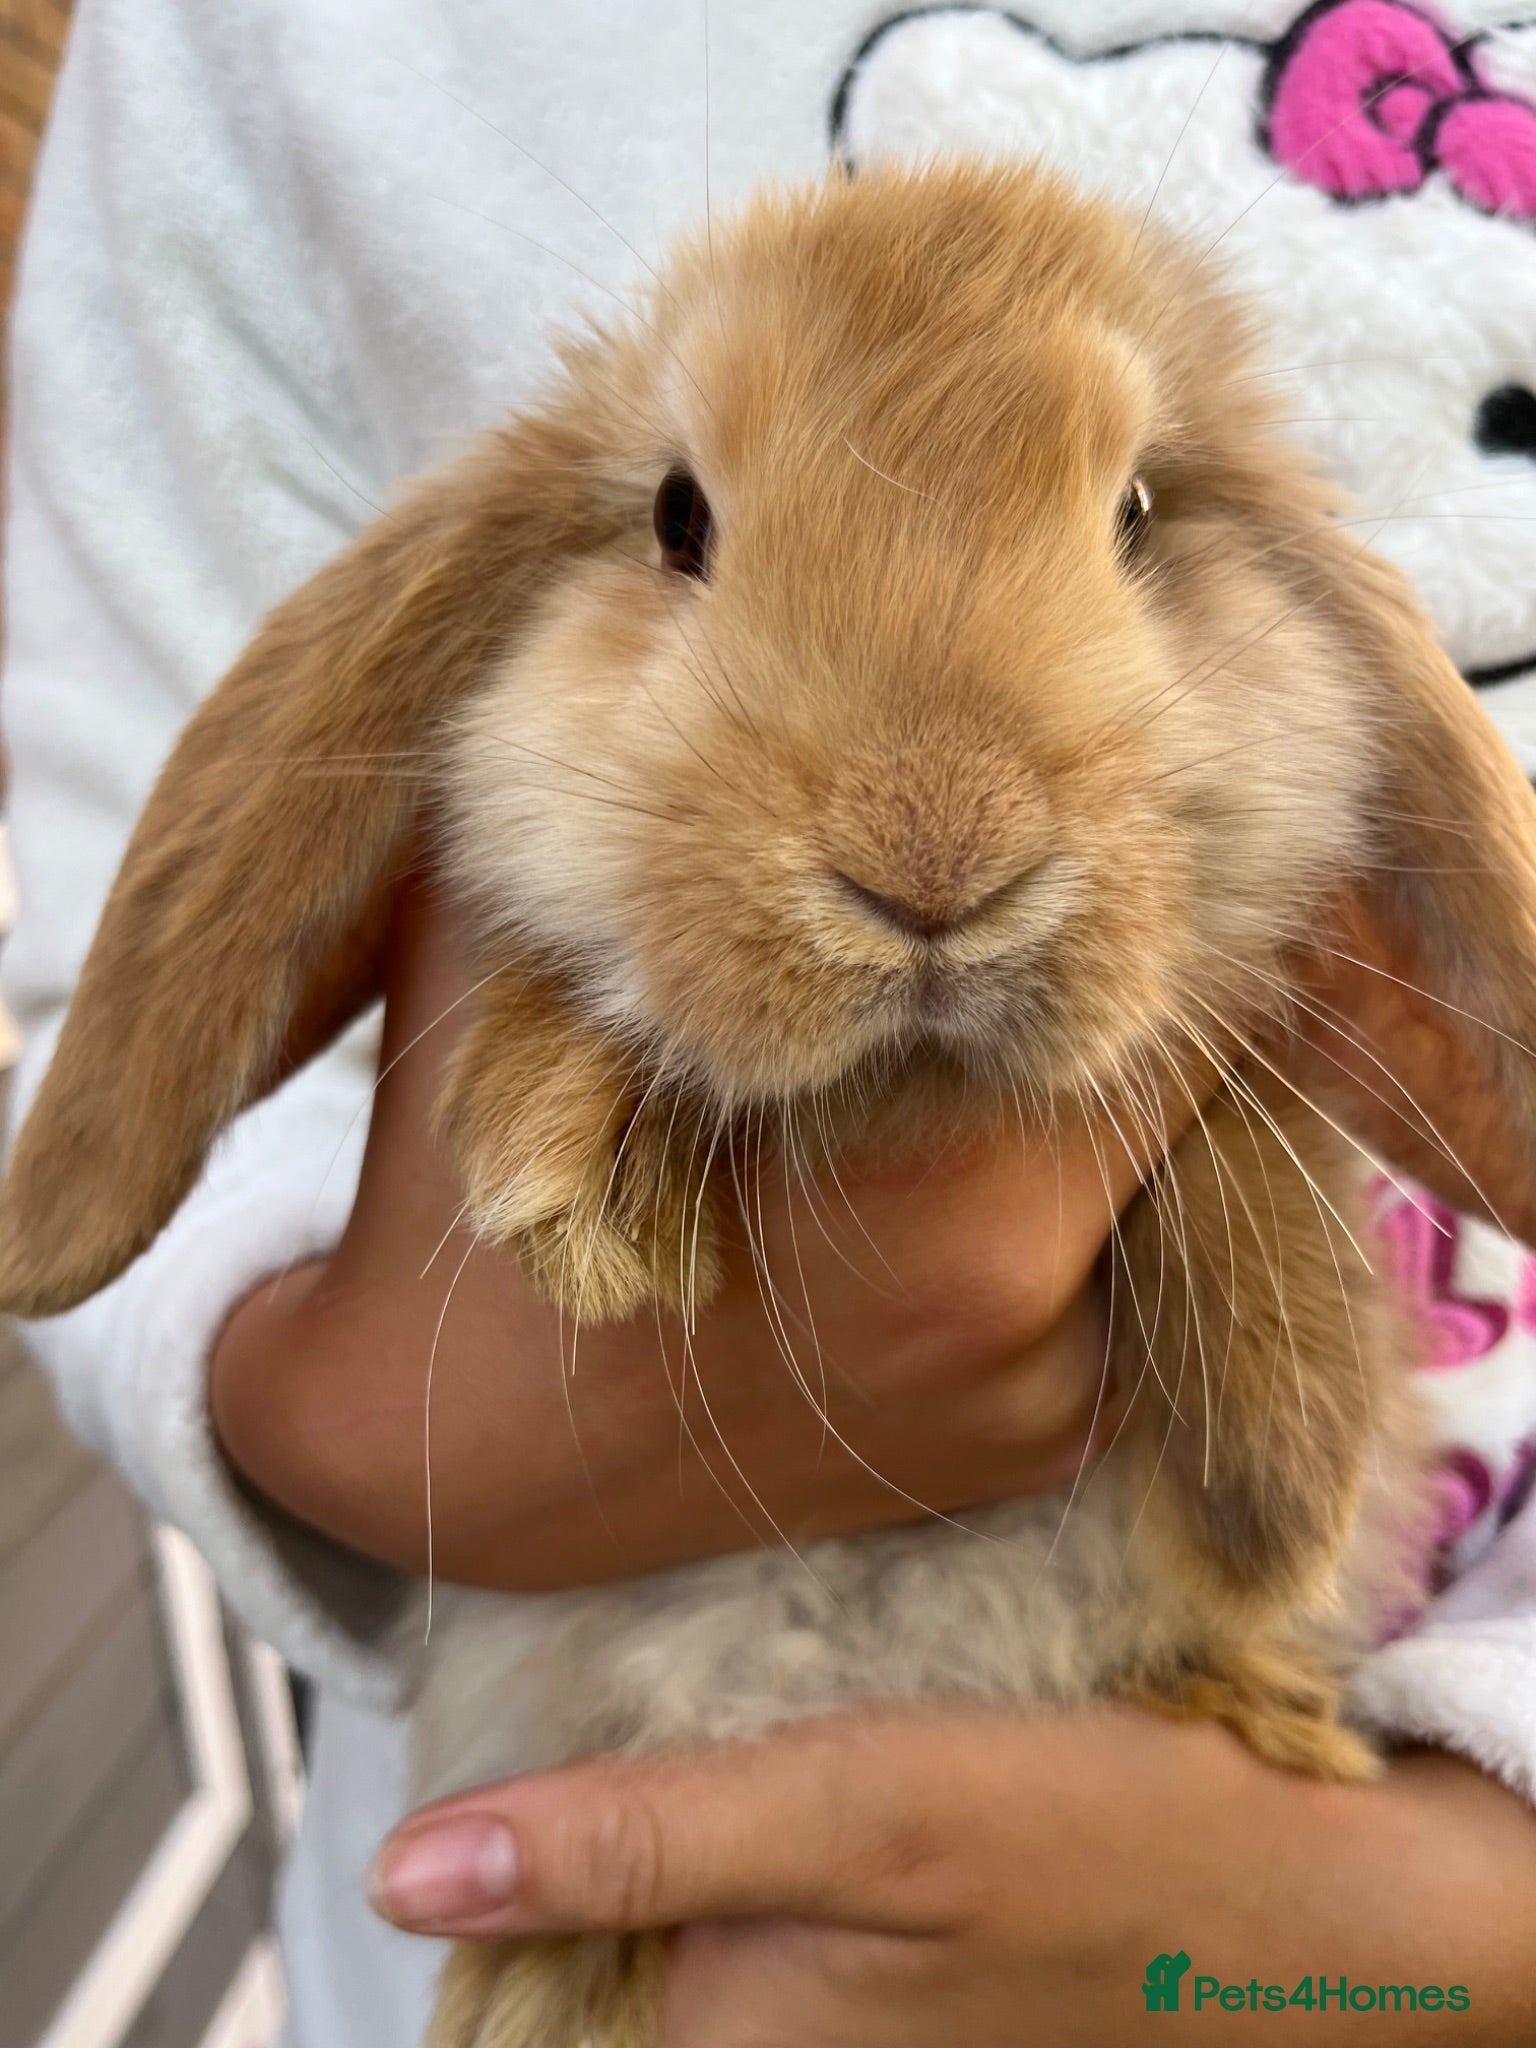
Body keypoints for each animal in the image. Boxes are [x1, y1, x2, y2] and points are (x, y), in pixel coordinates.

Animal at [4, 156, 1536, 2046]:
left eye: (1137, 510)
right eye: (678, 517)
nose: (935, 856)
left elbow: (1249, 1134)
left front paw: (1282, 1469)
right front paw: (572, 1173)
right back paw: (535, 1983)